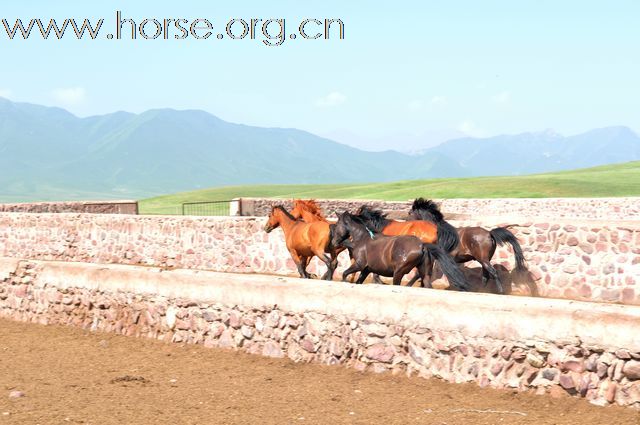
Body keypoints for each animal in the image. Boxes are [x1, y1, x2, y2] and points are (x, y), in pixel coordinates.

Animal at [330, 211, 470, 290]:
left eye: (337, 225)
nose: (333, 242)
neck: (362, 238)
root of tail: (422, 245)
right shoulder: (366, 270)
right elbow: (359, 280)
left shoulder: (359, 265)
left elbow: (344, 274)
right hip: (424, 272)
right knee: (427, 284)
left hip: (398, 272)